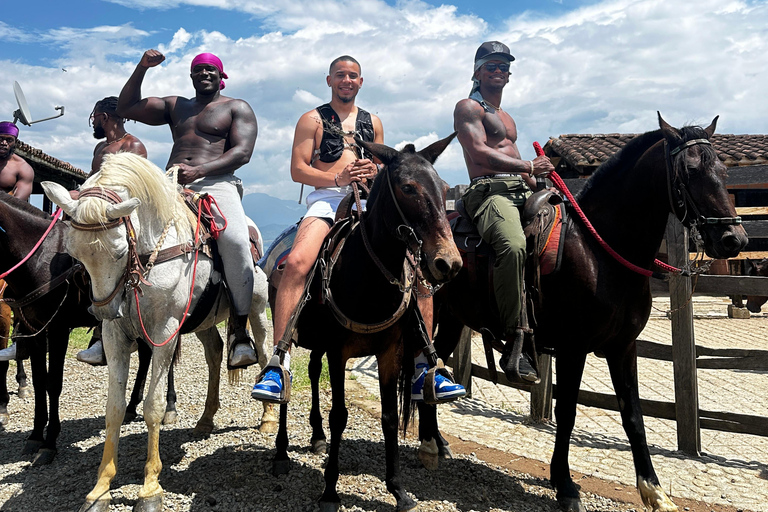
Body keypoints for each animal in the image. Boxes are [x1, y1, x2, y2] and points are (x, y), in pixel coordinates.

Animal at [0, 192, 175, 464]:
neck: (39, 260)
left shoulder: (58, 329)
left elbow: (53, 383)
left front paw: (49, 443)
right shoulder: (35, 329)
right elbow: (39, 382)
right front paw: (35, 436)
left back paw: (169, 408)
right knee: (147, 355)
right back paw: (131, 406)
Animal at [42, 154, 272, 512]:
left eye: (119, 251)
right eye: (75, 254)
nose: (102, 311)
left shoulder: (165, 330)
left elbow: (153, 407)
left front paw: (150, 489)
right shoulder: (116, 335)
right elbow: (114, 408)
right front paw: (100, 489)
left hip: (258, 311)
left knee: (263, 352)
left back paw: (268, 418)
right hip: (202, 322)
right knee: (214, 352)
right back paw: (206, 419)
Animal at [424, 116, 748, 512]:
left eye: (723, 171)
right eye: (690, 170)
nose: (734, 239)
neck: (601, 251)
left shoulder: (623, 347)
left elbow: (633, 414)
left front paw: (653, 490)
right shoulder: (572, 348)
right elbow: (566, 412)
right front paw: (564, 484)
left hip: (454, 319)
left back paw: (436, 442)